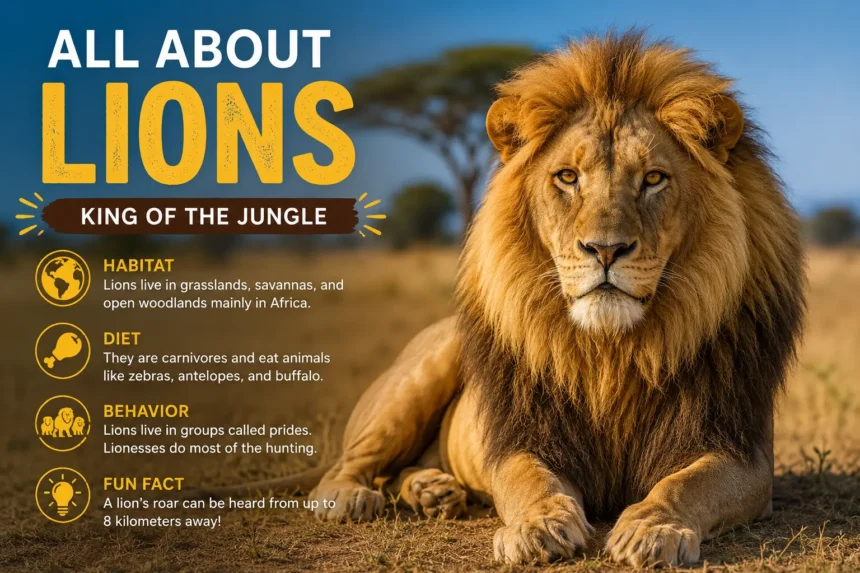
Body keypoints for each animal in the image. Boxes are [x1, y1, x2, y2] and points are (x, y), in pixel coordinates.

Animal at [198, 32, 804, 567]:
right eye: (567, 177)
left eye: (654, 178)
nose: (605, 249)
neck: (613, 353)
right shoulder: (521, 437)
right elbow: (527, 480)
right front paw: (539, 528)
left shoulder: (743, 452)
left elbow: (686, 483)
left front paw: (652, 529)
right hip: (420, 373)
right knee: (347, 467)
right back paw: (354, 496)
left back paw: (433, 491)